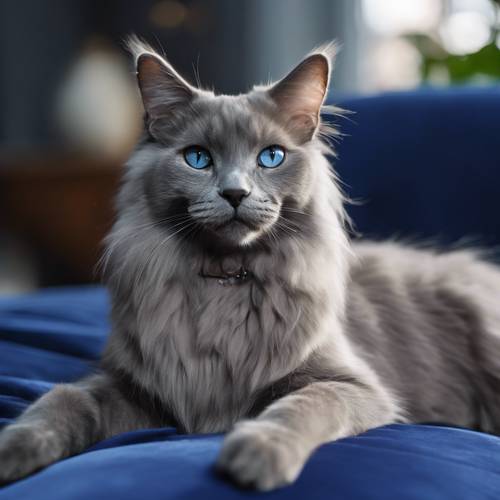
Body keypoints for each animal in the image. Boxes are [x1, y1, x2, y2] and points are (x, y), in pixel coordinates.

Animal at [0, 40, 500, 492]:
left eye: (271, 157)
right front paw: (15, 448)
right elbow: (63, 399)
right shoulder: (135, 389)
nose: (235, 193)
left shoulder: (351, 385)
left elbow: (298, 407)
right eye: (198, 157)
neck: (225, 282)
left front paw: (256, 455)